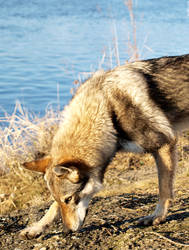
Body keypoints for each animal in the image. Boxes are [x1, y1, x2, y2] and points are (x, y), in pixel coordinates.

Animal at [19, 54, 189, 238]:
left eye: (69, 199)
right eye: (62, 200)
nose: (67, 231)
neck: (106, 110)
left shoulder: (165, 143)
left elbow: (164, 188)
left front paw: (157, 217)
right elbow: (52, 208)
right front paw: (36, 227)